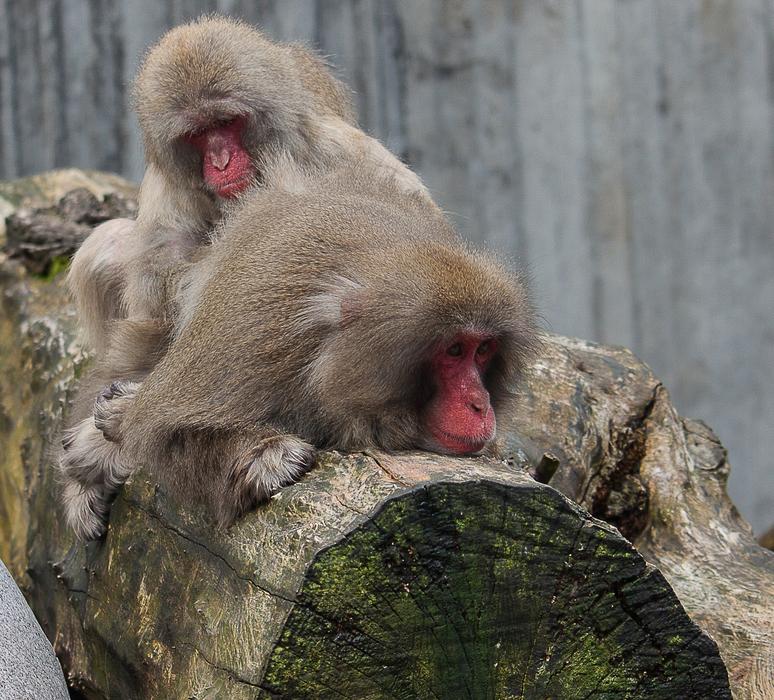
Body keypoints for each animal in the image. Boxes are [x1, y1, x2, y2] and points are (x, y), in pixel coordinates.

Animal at [59, 15, 434, 540]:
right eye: (198, 134)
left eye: (228, 123)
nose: (220, 162)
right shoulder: (168, 198)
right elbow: (155, 325)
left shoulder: (338, 155)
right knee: (105, 248)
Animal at [78, 155, 539, 530]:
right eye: (455, 350)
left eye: (484, 350)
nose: (479, 403)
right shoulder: (264, 339)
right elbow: (162, 427)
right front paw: (267, 457)